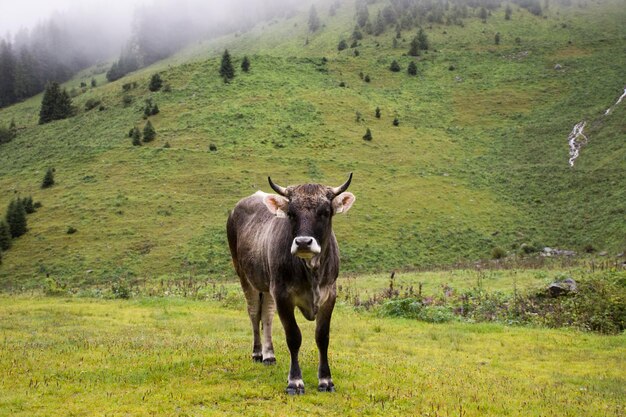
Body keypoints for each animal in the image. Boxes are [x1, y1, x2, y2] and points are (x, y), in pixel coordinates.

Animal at [225, 172, 354, 394]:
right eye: (291, 214)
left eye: (325, 212)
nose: (303, 242)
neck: (312, 271)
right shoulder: (283, 295)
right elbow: (294, 337)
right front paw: (295, 381)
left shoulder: (329, 295)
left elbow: (322, 337)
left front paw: (326, 380)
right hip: (245, 277)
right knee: (254, 312)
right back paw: (258, 353)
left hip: (268, 287)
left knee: (267, 315)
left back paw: (269, 355)